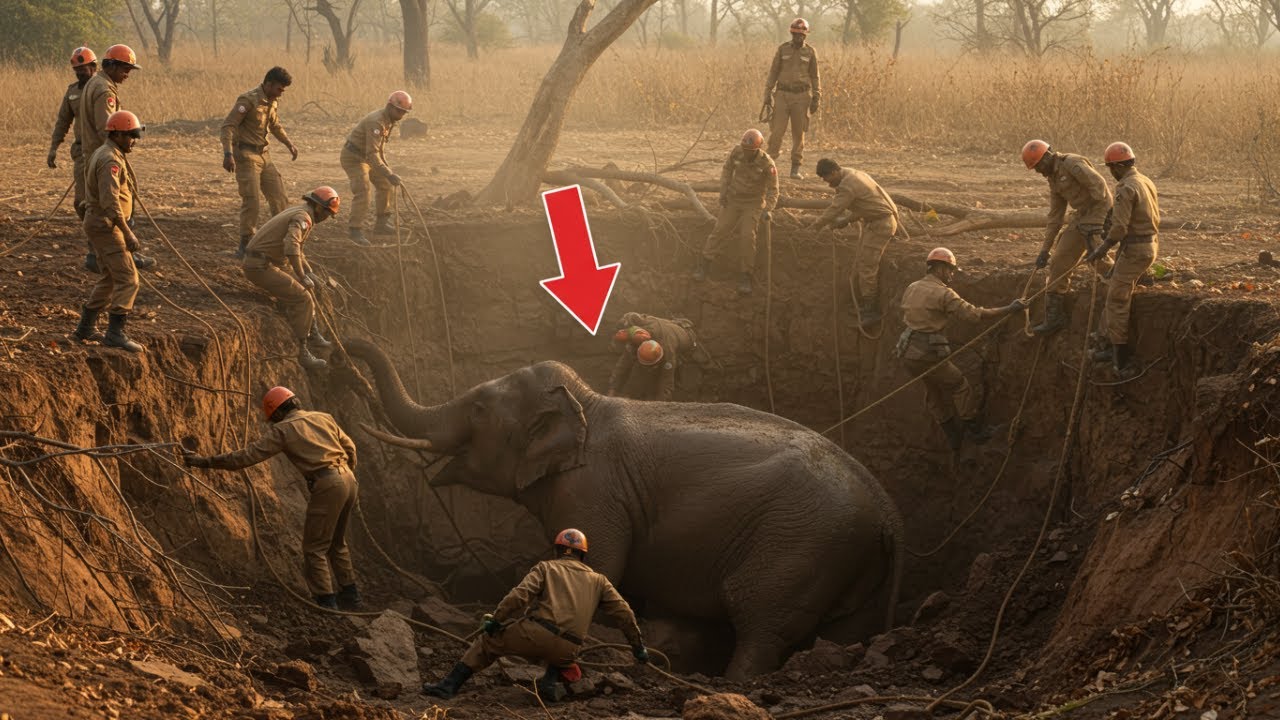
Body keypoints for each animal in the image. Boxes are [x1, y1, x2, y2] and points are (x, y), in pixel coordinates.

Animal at [344, 339, 903, 679]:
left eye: (479, 407)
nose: (341, 346)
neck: (587, 404)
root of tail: (889, 516)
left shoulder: (593, 492)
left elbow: (597, 567)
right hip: (850, 563)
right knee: (842, 632)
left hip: (801, 544)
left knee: (761, 621)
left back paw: (730, 682)